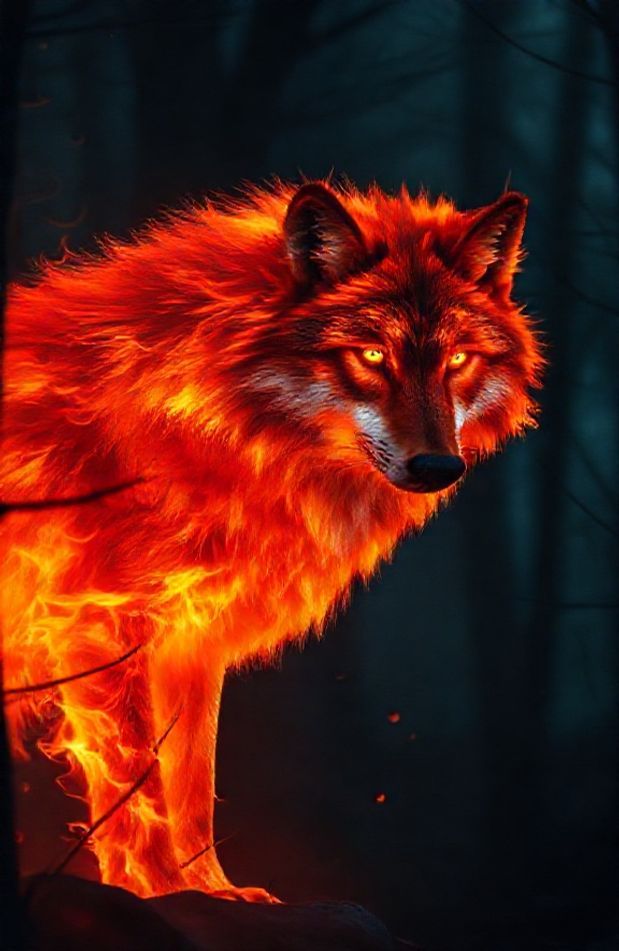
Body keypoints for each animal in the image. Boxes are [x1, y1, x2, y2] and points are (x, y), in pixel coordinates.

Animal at [1, 181, 543, 900]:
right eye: (372, 355)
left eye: (457, 359)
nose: (436, 466)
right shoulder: (98, 624)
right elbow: (138, 786)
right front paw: (159, 888)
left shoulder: (187, 644)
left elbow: (190, 787)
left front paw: (212, 890)